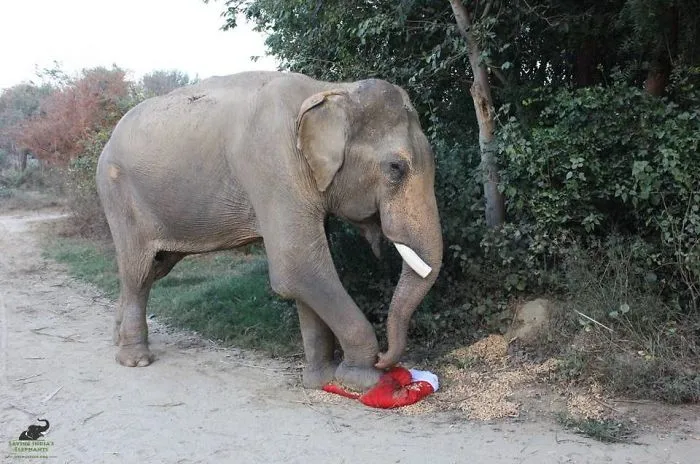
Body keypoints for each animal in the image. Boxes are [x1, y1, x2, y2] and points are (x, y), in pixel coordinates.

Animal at [96, 71, 443, 390]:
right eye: (396, 168)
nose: (385, 358)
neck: (329, 89)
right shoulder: (273, 164)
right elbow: (296, 267)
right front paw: (362, 380)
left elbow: (308, 273)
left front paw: (319, 380)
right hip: (118, 195)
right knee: (139, 272)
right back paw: (135, 359)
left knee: (154, 269)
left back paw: (117, 337)